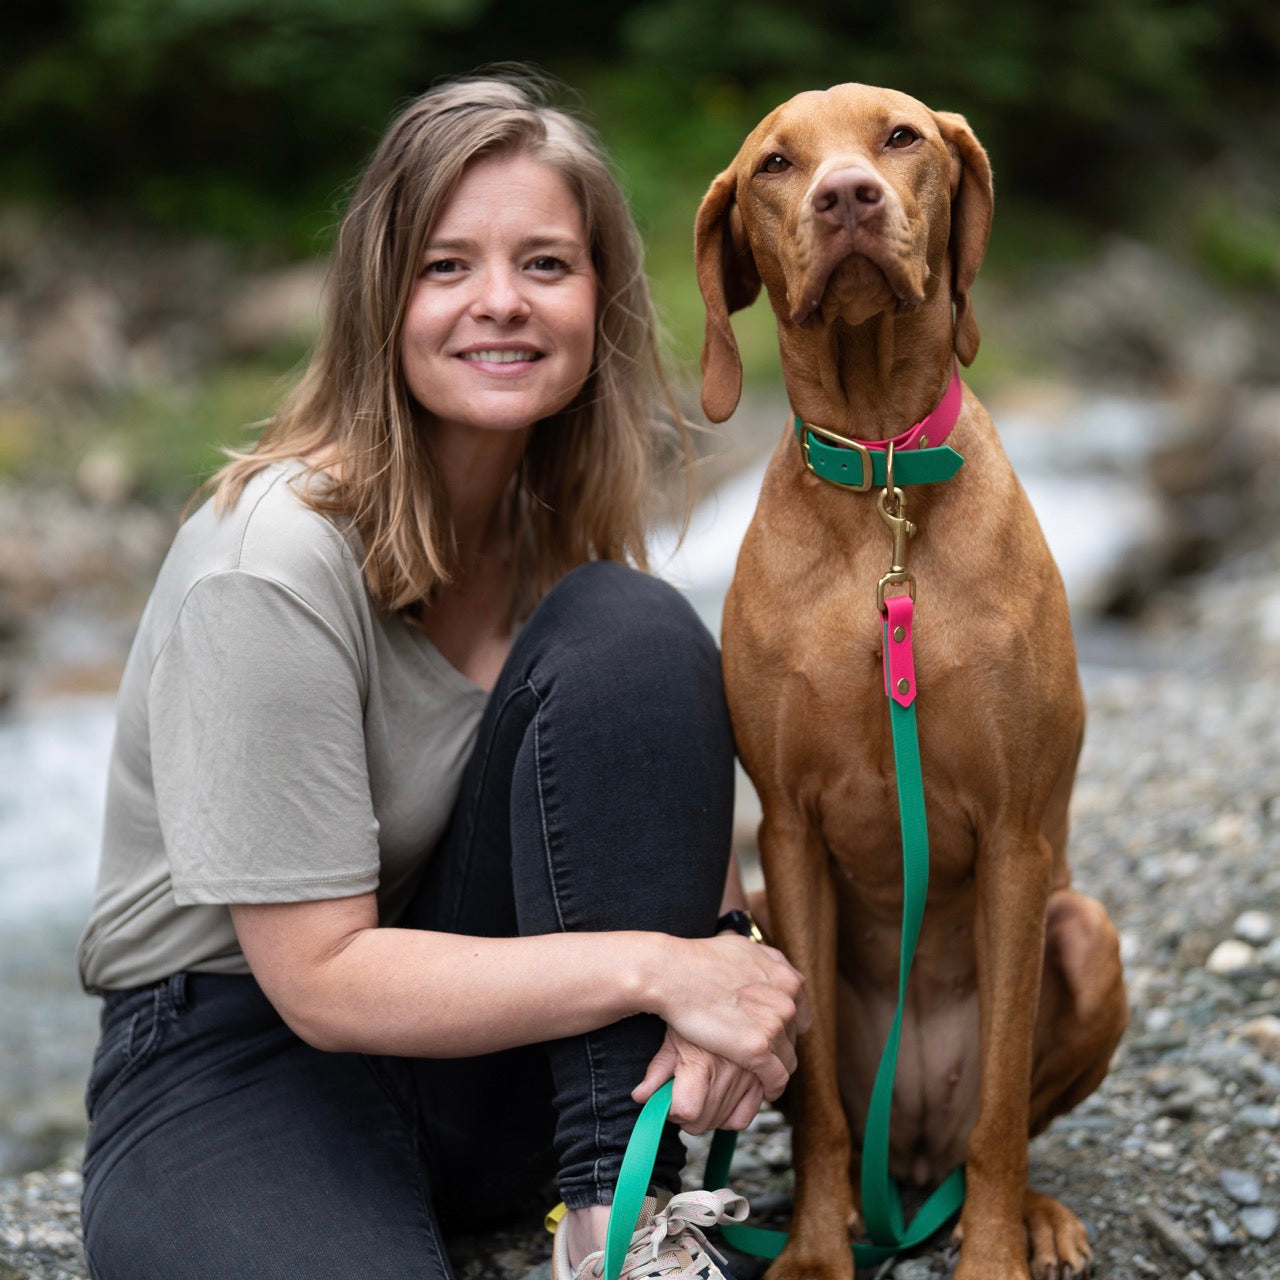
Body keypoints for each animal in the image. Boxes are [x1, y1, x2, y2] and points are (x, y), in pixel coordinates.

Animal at [696, 85, 1126, 1274]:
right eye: (775, 164)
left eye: (900, 137)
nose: (846, 196)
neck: (880, 470)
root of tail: (916, 1153)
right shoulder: (787, 832)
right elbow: (820, 1108)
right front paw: (809, 1250)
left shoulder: (1019, 837)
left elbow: (1002, 1108)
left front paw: (990, 1254)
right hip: (763, 917)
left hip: (1086, 933)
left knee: (994, 1126)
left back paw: (1027, 1214)